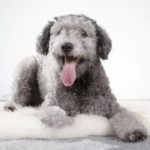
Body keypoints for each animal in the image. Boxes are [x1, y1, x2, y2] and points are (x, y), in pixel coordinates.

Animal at [5, 14, 147, 142]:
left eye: (84, 33)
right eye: (59, 32)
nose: (66, 46)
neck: (78, 82)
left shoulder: (111, 106)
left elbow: (125, 116)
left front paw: (135, 131)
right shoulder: (48, 105)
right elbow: (53, 113)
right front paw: (67, 120)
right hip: (25, 66)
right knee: (18, 95)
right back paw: (11, 106)